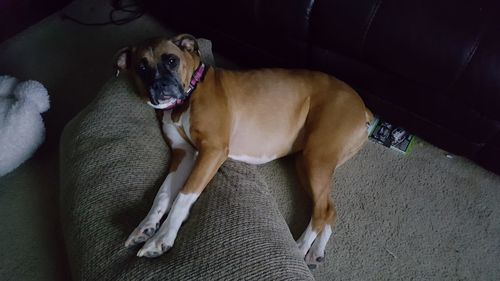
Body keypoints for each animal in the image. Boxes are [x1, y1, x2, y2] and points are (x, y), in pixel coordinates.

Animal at [114, 33, 372, 266]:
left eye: (171, 60)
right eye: (141, 67)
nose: (161, 87)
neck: (189, 94)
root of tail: (363, 107)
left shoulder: (212, 151)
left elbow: (183, 195)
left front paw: (162, 238)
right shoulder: (183, 154)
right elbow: (163, 194)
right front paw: (145, 226)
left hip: (316, 158)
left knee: (322, 211)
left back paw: (300, 248)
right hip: (306, 162)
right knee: (329, 210)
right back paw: (315, 252)